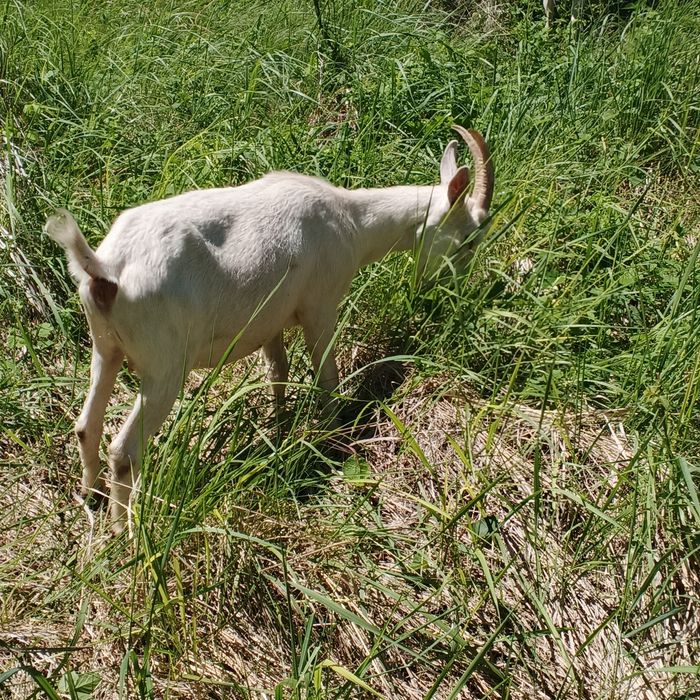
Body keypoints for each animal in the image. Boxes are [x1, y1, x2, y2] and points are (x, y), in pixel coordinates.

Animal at [45, 126, 494, 530]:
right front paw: (331, 434)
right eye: (470, 238)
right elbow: (325, 374)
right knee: (125, 451)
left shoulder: (270, 322)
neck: (351, 220)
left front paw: (280, 429)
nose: (456, 293)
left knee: (86, 425)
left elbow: (278, 371)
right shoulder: (320, 305)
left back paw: (90, 495)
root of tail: (106, 268)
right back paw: (124, 532)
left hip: (105, 347)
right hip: (164, 366)